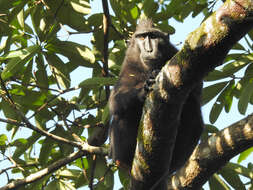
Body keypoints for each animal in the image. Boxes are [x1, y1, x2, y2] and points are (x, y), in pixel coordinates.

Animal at [109, 19, 204, 174]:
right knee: (122, 114)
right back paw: (125, 161)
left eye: (153, 37)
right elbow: (115, 101)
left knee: (193, 113)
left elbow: (195, 92)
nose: (149, 50)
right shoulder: (128, 67)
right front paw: (143, 89)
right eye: (142, 37)